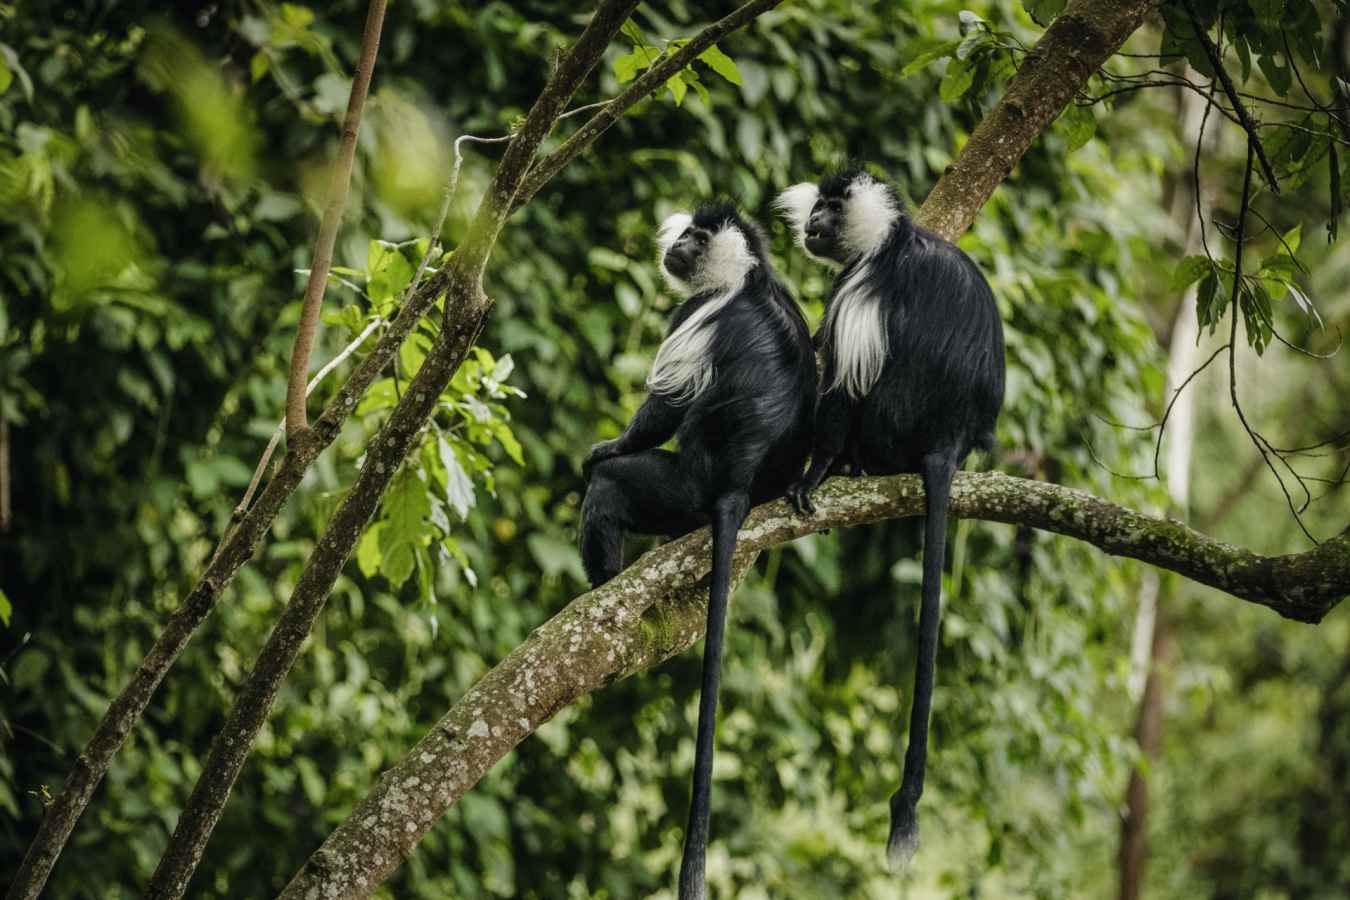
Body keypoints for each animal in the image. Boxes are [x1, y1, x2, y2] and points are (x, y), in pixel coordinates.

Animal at [579, 203, 816, 900]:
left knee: (615, 487)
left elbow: (662, 407)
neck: (747, 276)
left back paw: (602, 583)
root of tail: (736, 484)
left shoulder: (696, 315)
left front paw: (605, 448)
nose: (677, 245)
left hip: (678, 486)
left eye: (696, 238)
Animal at [775, 167, 1005, 868]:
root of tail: (948, 439)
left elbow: (841, 384)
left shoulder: (862, 289)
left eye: (829, 208)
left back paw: (847, 468)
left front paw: (815, 472)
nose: (812, 222)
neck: (891, 240)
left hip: (890, 424)